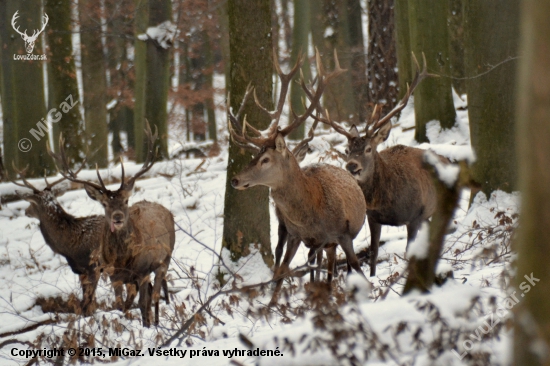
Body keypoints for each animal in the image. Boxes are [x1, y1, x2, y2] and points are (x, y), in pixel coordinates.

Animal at [49, 124, 176, 328]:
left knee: (156, 294)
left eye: (125, 200)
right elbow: (119, 305)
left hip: (166, 258)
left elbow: (142, 303)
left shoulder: (142, 271)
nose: (117, 217)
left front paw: (146, 326)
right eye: (104, 204)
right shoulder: (113, 276)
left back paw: (156, 323)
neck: (123, 260)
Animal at [229, 50, 366, 300]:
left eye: (265, 159)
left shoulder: (343, 234)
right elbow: (281, 272)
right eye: (255, 155)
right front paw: (272, 303)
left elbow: (356, 268)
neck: (313, 214)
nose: (235, 180)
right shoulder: (294, 235)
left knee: (336, 267)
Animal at [310, 54, 448, 276]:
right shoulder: (373, 217)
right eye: (347, 150)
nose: (352, 167)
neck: (388, 200)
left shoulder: (415, 215)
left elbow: (408, 251)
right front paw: (373, 276)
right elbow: (373, 252)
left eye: (368, 149)